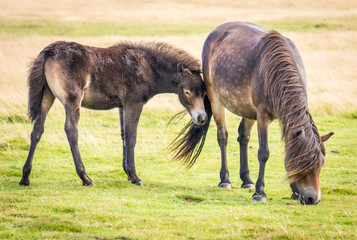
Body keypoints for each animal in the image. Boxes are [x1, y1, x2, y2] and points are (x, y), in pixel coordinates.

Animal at [19, 40, 207, 187]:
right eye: (187, 92)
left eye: (204, 92)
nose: (201, 117)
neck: (146, 67)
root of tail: (48, 52)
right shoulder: (134, 104)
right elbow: (131, 136)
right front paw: (135, 176)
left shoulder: (122, 106)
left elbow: (123, 135)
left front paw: (128, 173)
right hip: (72, 100)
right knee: (71, 131)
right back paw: (85, 177)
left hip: (47, 97)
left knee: (37, 130)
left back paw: (25, 176)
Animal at [171, 22, 332, 205]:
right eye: (304, 164)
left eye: (321, 164)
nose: (313, 199)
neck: (275, 71)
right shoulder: (263, 115)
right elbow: (263, 153)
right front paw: (260, 192)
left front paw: (294, 192)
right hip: (217, 100)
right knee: (222, 137)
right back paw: (225, 180)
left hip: (248, 111)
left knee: (243, 137)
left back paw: (246, 180)